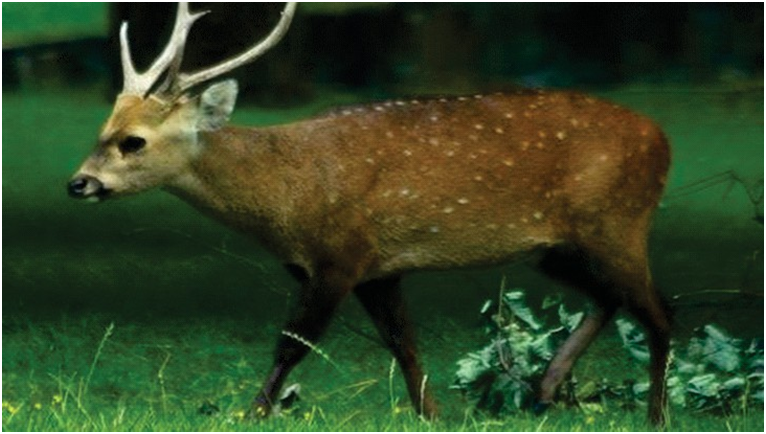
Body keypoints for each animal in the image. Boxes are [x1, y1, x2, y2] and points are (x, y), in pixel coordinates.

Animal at [70, 1, 672, 426]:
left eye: (133, 141)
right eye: (103, 128)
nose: (79, 182)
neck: (288, 195)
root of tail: (662, 141)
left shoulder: (342, 252)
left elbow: (294, 341)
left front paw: (252, 412)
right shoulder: (378, 268)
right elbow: (404, 344)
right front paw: (432, 414)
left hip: (617, 221)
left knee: (659, 313)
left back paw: (655, 415)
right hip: (556, 247)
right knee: (610, 297)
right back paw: (545, 391)